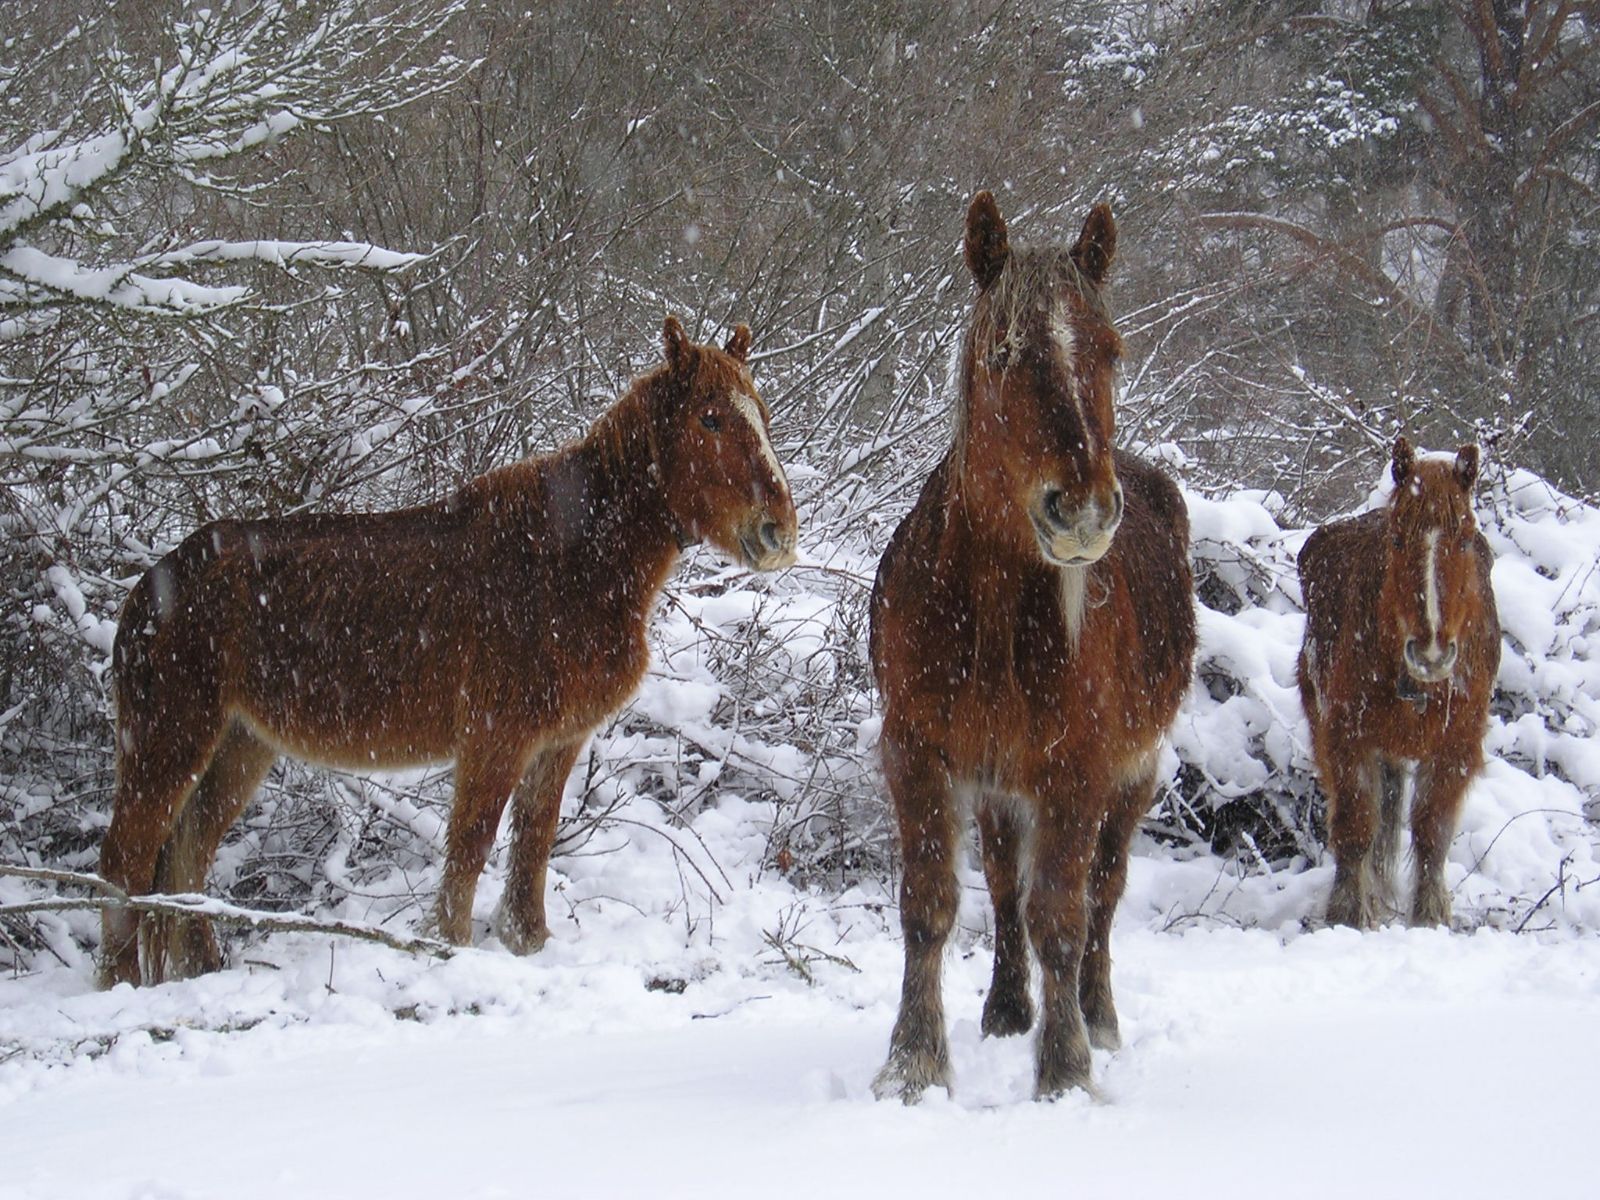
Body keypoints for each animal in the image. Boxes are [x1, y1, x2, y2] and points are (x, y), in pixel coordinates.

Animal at [100, 316, 800, 985]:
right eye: (709, 417)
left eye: (762, 414)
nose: (779, 533)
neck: (570, 562)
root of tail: (152, 587)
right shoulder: (496, 739)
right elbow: (470, 849)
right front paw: (449, 948)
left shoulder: (558, 742)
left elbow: (532, 847)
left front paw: (527, 943)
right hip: (168, 743)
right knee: (125, 860)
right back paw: (120, 982)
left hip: (241, 746)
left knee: (188, 854)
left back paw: (197, 967)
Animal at [870, 192, 1196, 1107]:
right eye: (1003, 353)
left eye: (1112, 352)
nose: (1081, 510)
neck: (989, 617)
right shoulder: (918, 753)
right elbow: (931, 904)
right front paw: (913, 1064)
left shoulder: (1075, 771)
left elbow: (1063, 914)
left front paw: (1066, 1068)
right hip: (998, 785)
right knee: (1004, 885)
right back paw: (1008, 1009)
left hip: (1133, 774)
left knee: (1103, 893)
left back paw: (1096, 1014)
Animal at [1299, 438, 1497, 934]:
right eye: (1397, 538)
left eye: (1465, 538)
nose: (1431, 651)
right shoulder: (1346, 736)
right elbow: (1356, 825)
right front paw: (1350, 913)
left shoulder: (1456, 747)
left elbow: (1432, 831)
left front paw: (1430, 916)